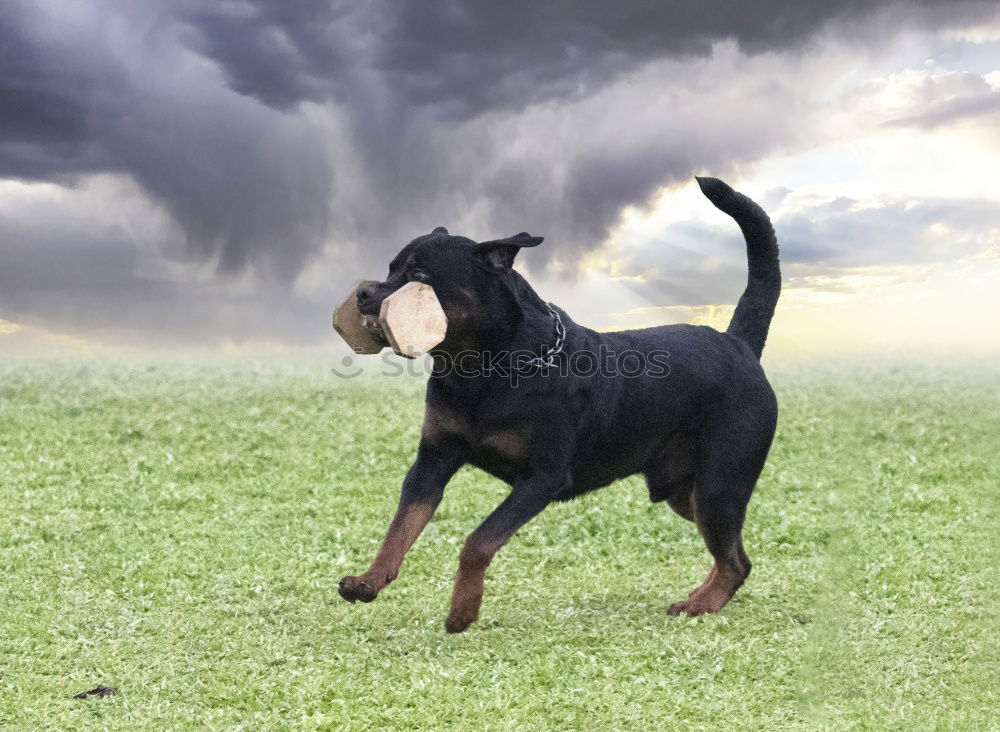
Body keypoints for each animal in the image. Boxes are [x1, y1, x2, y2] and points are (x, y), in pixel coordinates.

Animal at [340, 174, 776, 632]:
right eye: (390, 268)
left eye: (419, 274)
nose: (363, 293)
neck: (481, 371)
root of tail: (737, 343)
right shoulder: (431, 463)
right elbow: (400, 526)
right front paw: (369, 581)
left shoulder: (542, 478)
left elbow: (478, 540)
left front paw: (463, 610)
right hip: (685, 490)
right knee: (735, 553)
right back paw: (702, 596)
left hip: (717, 485)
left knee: (733, 558)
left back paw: (700, 606)